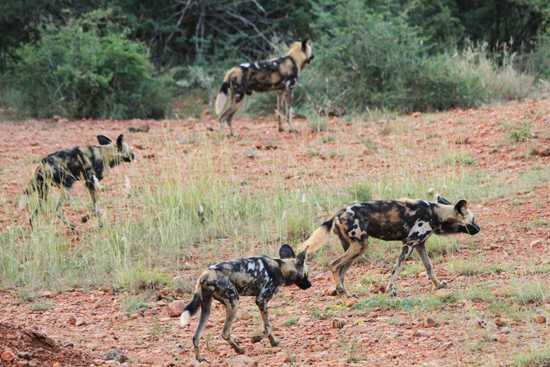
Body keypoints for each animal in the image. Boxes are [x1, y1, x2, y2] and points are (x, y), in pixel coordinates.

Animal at [180, 244, 312, 362]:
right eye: (306, 274)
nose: (310, 285)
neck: (280, 268)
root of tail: (206, 275)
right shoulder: (261, 300)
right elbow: (268, 328)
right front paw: (256, 339)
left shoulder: (261, 302)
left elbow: (268, 327)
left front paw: (273, 343)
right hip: (234, 303)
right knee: (225, 333)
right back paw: (239, 350)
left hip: (207, 308)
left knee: (196, 337)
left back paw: (199, 359)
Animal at [302, 194, 484, 298]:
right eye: (474, 220)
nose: (479, 229)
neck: (436, 213)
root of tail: (339, 212)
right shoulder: (409, 243)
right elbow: (396, 270)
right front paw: (391, 290)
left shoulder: (420, 245)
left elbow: (429, 268)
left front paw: (438, 285)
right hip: (360, 246)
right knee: (334, 265)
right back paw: (344, 293)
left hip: (354, 249)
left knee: (341, 271)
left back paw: (343, 292)